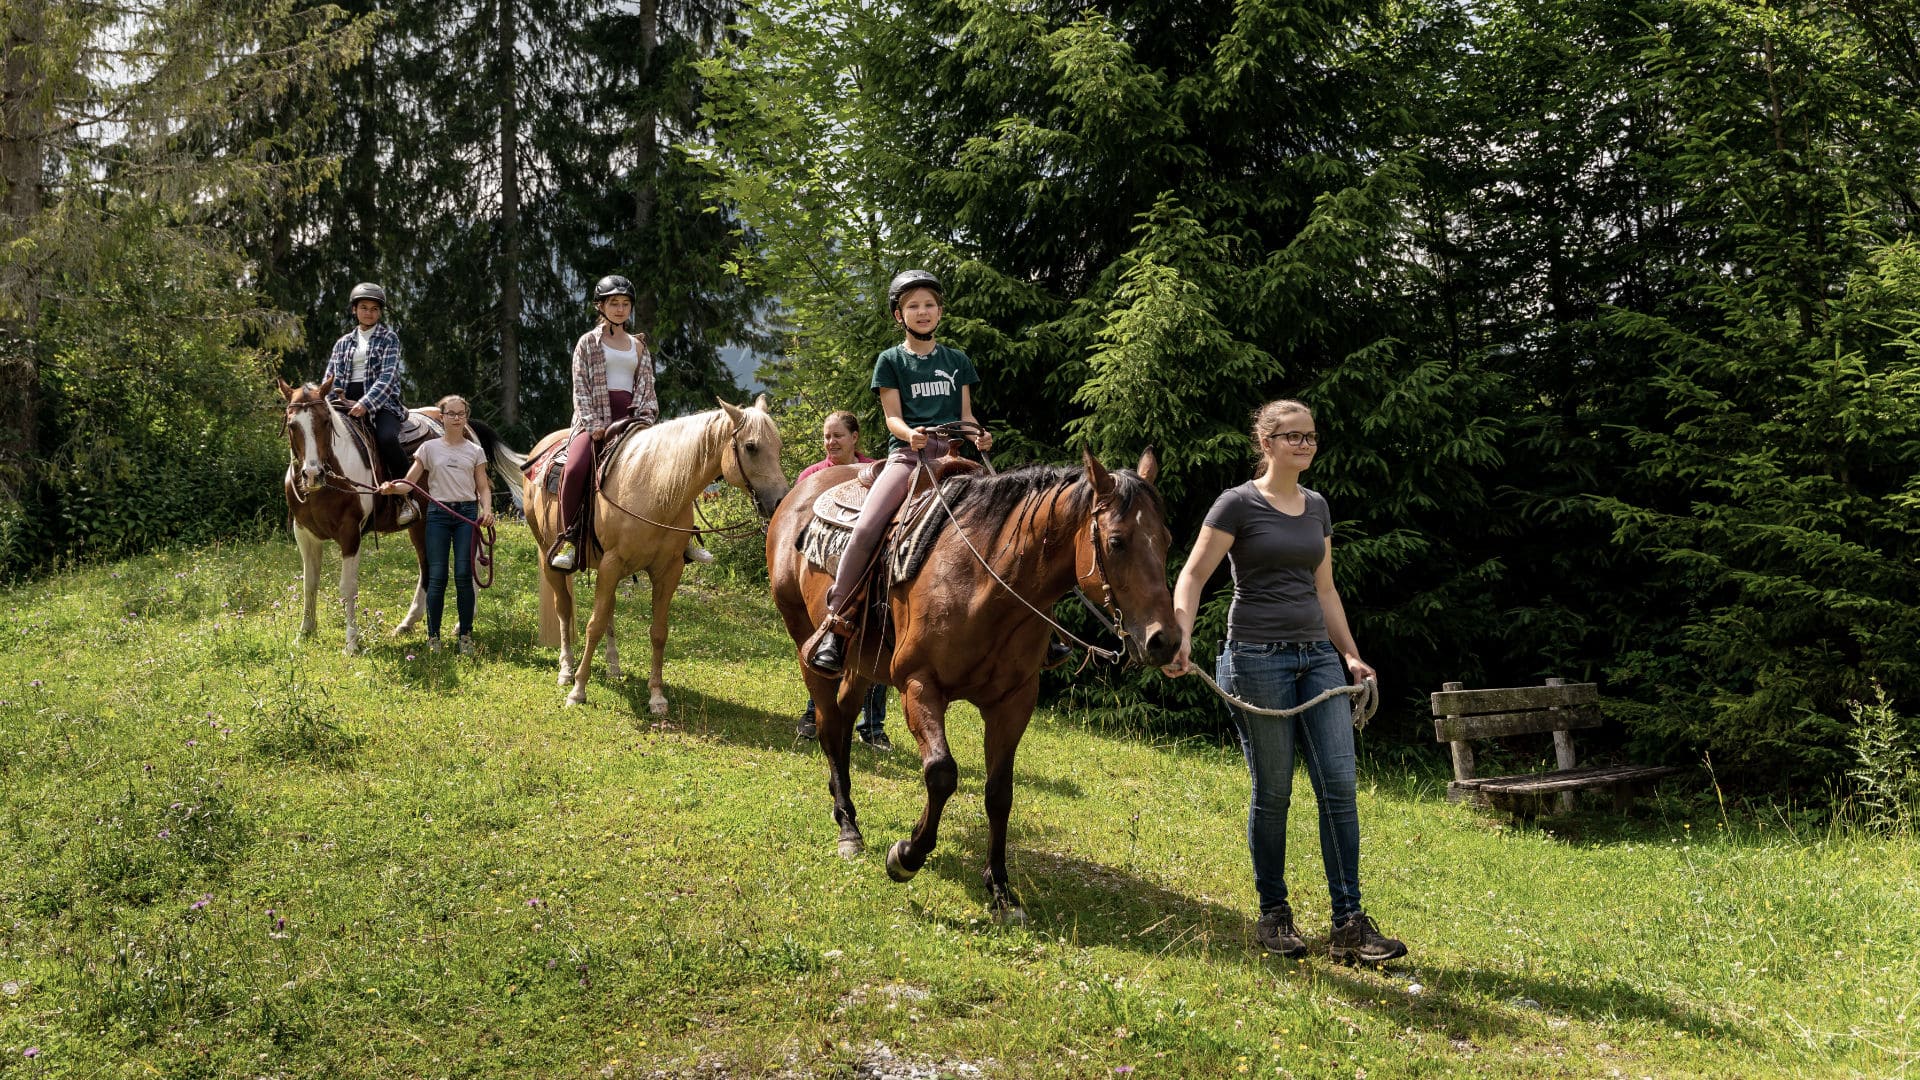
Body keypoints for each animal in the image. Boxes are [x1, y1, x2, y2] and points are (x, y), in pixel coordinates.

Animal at [278, 374, 526, 653]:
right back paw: (407, 623)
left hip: (466, 518)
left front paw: (351, 642)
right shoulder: (304, 533)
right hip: (422, 524)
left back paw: (459, 626)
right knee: (427, 569)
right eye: (292, 425)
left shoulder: (350, 533)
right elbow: (309, 583)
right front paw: (304, 633)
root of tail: (467, 428)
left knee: (470, 566)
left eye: (326, 421)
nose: (312, 474)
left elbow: (347, 587)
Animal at [526, 395, 787, 714]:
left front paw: (657, 696)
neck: (654, 487)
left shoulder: (668, 569)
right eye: (751, 446)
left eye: (778, 446)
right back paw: (565, 670)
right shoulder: (612, 564)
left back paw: (614, 667)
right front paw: (578, 690)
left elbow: (658, 631)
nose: (779, 500)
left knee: (608, 609)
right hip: (547, 556)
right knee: (564, 609)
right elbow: (593, 626)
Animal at [768, 445, 1182, 914]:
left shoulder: (1014, 702)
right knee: (827, 725)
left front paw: (1000, 886)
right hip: (805, 641)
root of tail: (798, 494)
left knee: (840, 725)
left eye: (1166, 540)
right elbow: (942, 773)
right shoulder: (919, 685)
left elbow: (1000, 792)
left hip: (860, 665)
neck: (985, 584)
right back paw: (848, 829)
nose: (1165, 640)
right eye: (1116, 541)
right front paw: (907, 856)